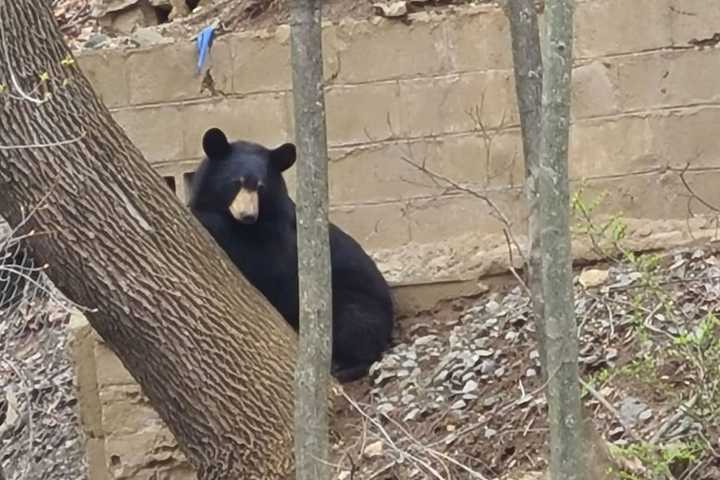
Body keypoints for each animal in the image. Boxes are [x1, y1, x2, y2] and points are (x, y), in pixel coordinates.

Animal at [188, 127, 396, 382]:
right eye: (236, 183)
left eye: (261, 187)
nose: (248, 215)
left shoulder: (281, 232)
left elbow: (268, 262)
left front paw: (202, 217)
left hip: (350, 301)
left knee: (355, 326)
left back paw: (343, 366)